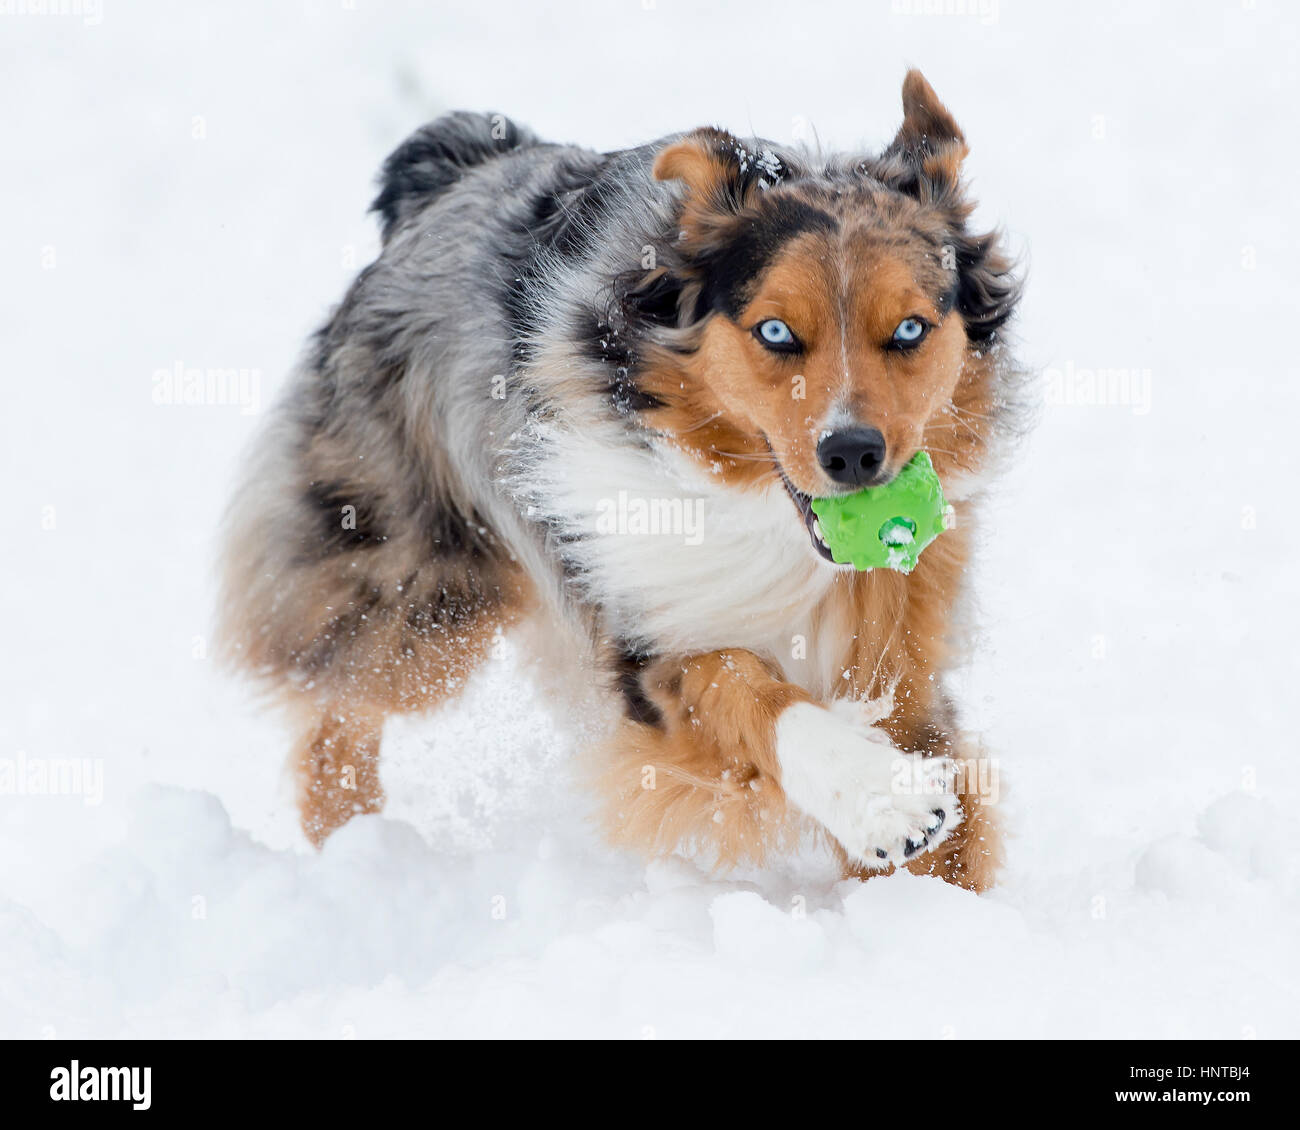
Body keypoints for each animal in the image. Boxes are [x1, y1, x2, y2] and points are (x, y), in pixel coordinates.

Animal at [215, 70, 1024, 889]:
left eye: (910, 330)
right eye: (775, 332)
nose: (854, 453)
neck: (770, 523)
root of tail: (455, 173)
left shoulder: (903, 652)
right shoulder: (646, 634)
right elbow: (745, 688)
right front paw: (879, 798)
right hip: (418, 582)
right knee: (340, 708)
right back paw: (354, 851)